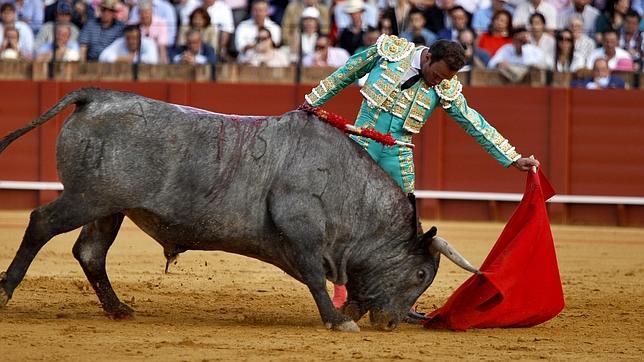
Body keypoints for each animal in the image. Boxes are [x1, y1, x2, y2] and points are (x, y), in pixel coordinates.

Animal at [0, 87, 476, 330]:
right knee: (41, 224)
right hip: (87, 198)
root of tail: (96, 96)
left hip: (108, 206)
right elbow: (314, 278)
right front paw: (337, 320)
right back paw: (5, 291)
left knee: (90, 252)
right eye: (420, 274)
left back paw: (118, 309)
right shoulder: (302, 232)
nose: (392, 323)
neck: (349, 191)